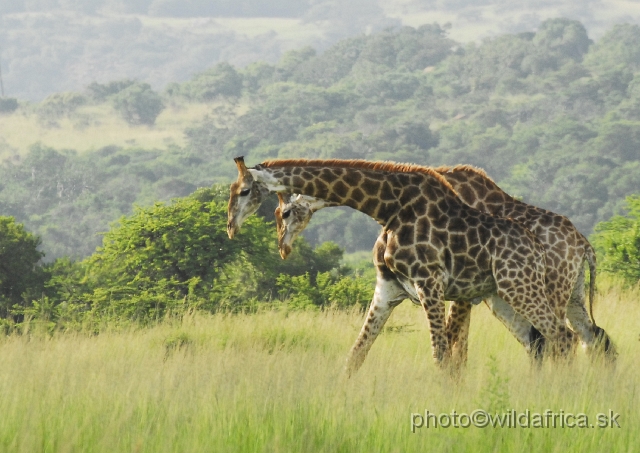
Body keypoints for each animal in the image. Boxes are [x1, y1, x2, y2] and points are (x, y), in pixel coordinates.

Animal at [226, 157, 576, 372]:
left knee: (563, 338)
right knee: (546, 342)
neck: (388, 209)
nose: (230, 227)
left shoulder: (431, 284)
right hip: (505, 296)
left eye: (244, 191)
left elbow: (443, 356)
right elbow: (355, 355)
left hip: (522, 288)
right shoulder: (388, 289)